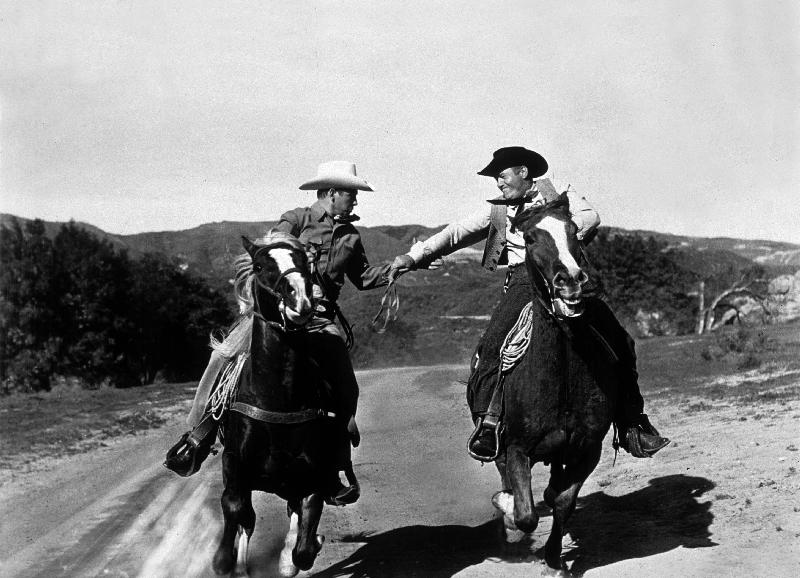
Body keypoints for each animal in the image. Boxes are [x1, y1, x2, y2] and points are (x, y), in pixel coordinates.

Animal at [211, 232, 332, 572]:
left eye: (305, 262)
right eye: (260, 266)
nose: (301, 299)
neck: (278, 398)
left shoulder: (311, 475)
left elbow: (304, 541)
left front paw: (302, 550)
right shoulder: (234, 465)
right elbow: (234, 507)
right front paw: (224, 560)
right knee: (246, 518)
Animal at [490, 194, 620, 572]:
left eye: (574, 230)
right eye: (530, 237)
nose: (571, 280)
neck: (560, 378)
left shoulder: (587, 449)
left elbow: (562, 501)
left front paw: (553, 560)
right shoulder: (516, 448)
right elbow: (525, 514)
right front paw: (508, 509)